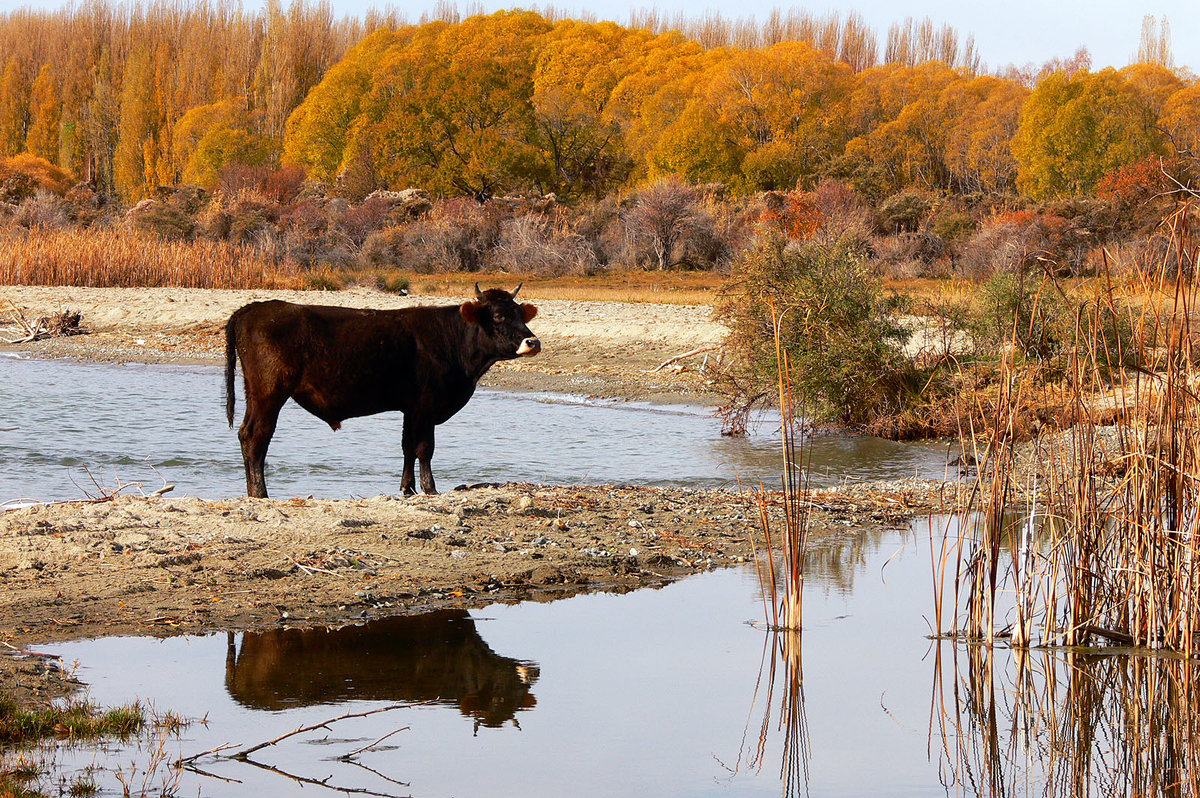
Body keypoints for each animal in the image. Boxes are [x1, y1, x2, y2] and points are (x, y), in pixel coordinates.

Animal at [224, 284, 540, 499]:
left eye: (520, 314)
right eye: (498, 316)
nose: (533, 342)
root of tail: (252, 308)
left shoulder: (411, 408)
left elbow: (407, 447)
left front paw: (408, 488)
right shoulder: (426, 406)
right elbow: (424, 448)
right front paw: (430, 488)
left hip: (257, 394)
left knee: (247, 434)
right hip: (269, 393)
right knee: (256, 436)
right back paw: (260, 493)